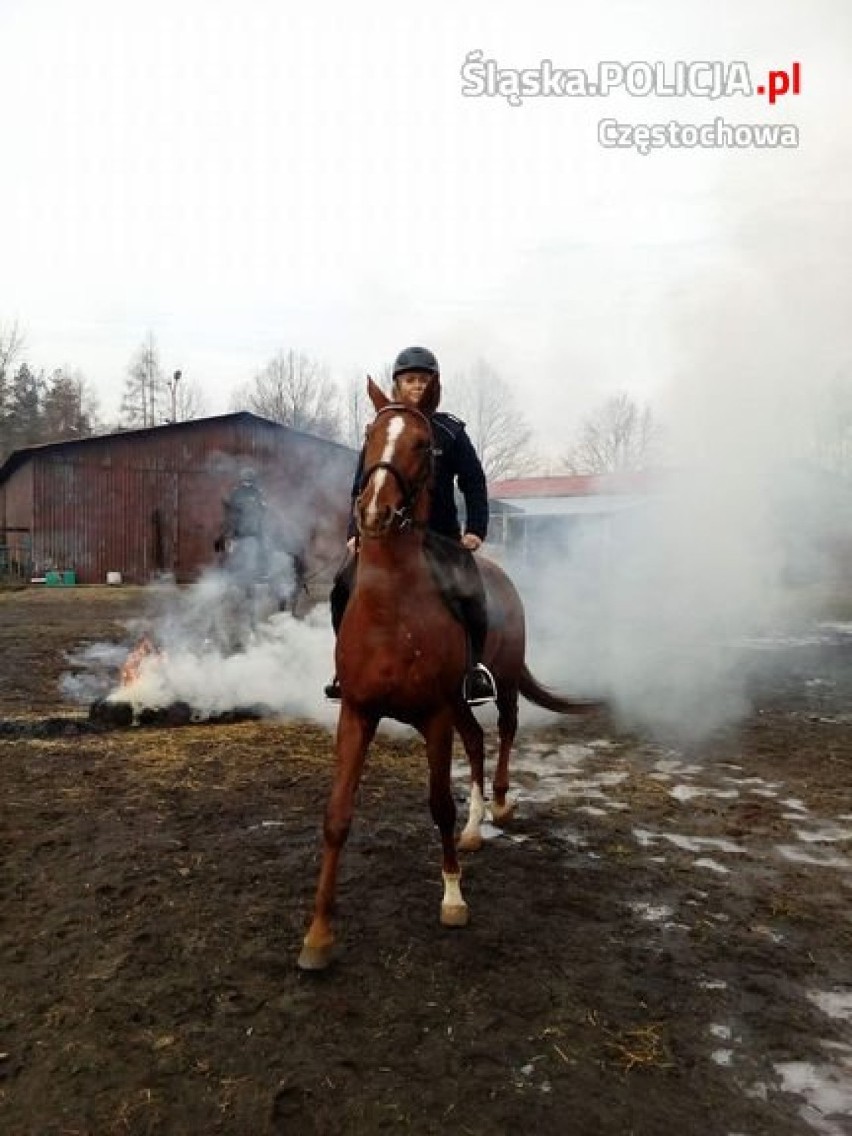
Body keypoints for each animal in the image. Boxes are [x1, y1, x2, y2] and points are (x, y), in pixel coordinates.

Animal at [299, 379, 599, 967]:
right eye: (370, 435)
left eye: (424, 444)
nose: (373, 512)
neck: (391, 606)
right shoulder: (358, 712)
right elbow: (337, 815)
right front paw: (319, 934)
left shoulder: (434, 715)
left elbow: (438, 804)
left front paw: (454, 898)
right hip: (460, 703)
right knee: (478, 741)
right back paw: (475, 828)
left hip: (498, 687)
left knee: (504, 731)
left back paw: (499, 804)